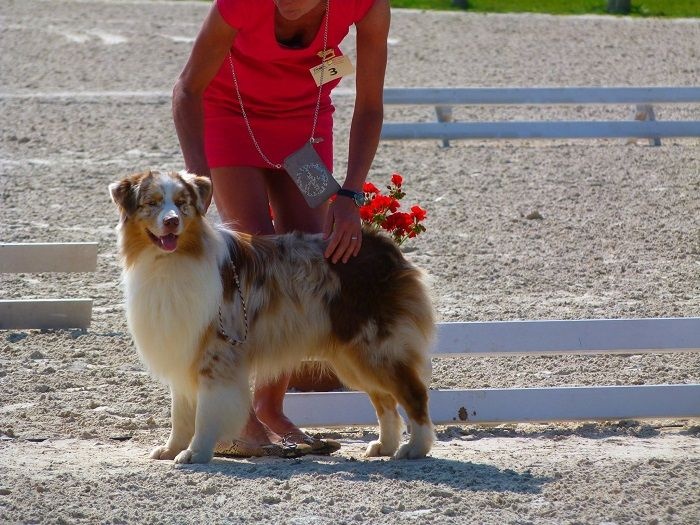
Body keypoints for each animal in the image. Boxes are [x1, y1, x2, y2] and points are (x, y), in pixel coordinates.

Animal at [109, 169, 434, 462]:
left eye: (181, 203)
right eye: (151, 203)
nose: (172, 221)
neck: (170, 261)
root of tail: (382, 247)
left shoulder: (215, 355)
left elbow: (205, 411)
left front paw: (196, 452)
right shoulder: (182, 344)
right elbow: (180, 411)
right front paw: (172, 448)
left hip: (375, 347)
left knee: (413, 393)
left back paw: (415, 449)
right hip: (351, 356)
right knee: (385, 400)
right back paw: (386, 446)